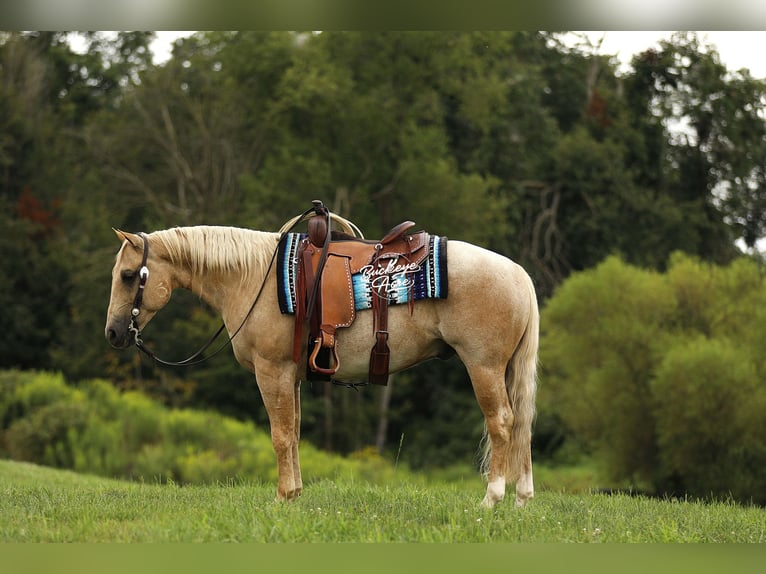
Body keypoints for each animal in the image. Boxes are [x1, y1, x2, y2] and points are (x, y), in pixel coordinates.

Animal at [104, 216, 539, 508]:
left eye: (128, 275)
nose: (113, 333)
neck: (252, 278)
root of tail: (520, 274)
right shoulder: (291, 375)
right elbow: (294, 432)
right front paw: (295, 494)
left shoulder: (272, 371)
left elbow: (280, 435)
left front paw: (282, 497)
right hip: (505, 369)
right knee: (521, 423)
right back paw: (522, 497)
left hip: (483, 365)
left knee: (502, 422)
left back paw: (492, 499)